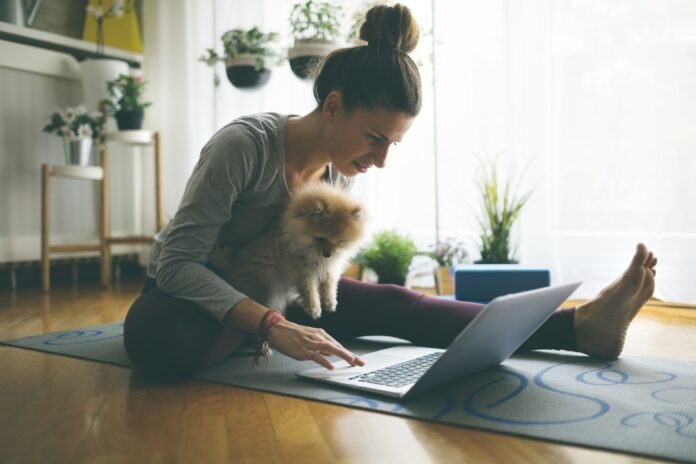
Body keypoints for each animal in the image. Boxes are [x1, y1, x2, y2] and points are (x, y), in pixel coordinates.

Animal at [209, 181, 368, 320]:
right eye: (320, 238)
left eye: (339, 242)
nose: (327, 254)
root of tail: (233, 266)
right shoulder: (300, 268)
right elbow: (308, 288)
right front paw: (314, 308)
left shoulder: (329, 266)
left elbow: (329, 282)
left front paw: (329, 302)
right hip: (266, 283)